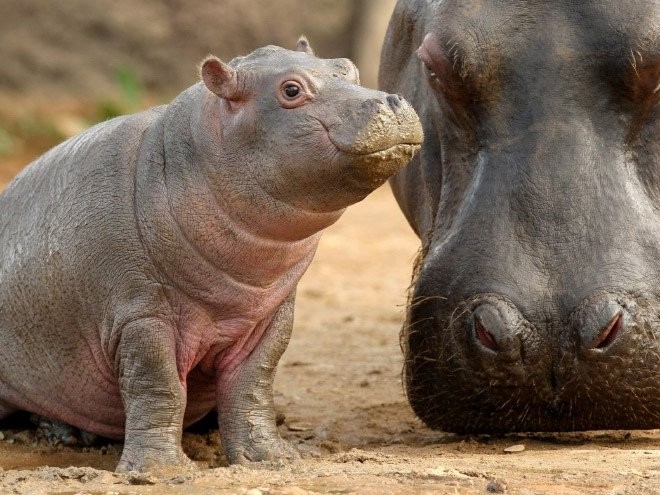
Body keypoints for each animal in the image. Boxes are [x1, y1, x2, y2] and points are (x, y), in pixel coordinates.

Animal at [0, 39, 422, 472]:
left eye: (349, 67)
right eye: (291, 90)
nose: (389, 100)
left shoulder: (269, 317)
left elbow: (253, 384)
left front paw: (271, 458)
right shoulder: (140, 314)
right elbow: (158, 386)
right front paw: (160, 469)